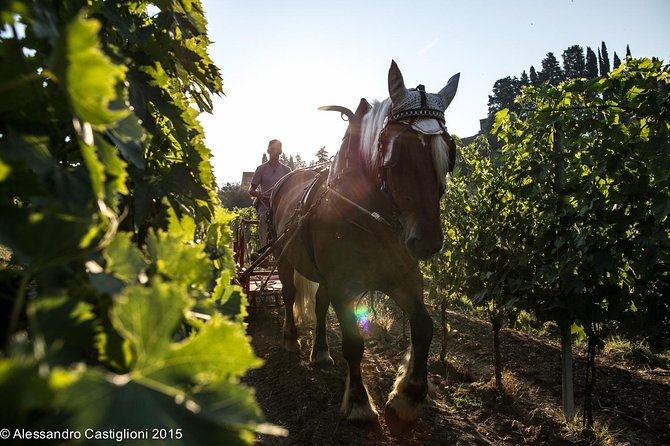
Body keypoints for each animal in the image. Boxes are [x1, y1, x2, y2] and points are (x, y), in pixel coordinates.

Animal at [270, 60, 460, 428]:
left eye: (448, 154)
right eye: (397, 156)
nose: (427, 243)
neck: (371, 216)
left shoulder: (404, 278)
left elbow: (424, 327)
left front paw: (409, 394)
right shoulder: (344, 285)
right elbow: (354, 343)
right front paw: (359, 403)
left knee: (319, 304)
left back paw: (320, 352)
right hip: (283, 256)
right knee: (288, 295)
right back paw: (291, 338)